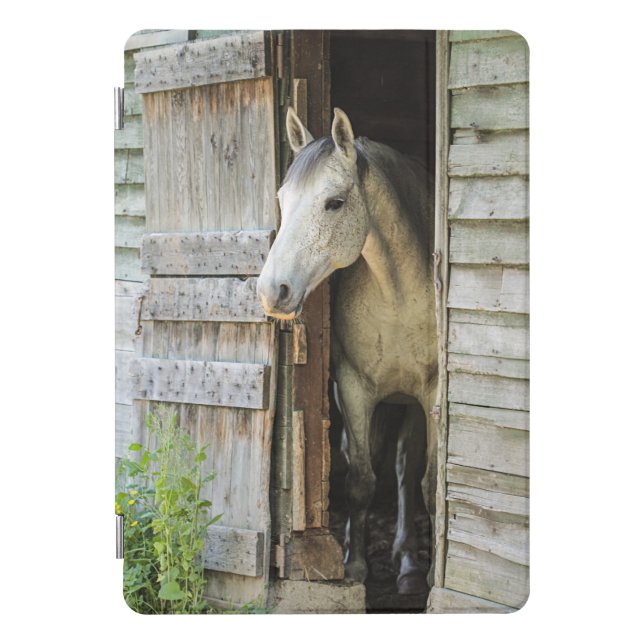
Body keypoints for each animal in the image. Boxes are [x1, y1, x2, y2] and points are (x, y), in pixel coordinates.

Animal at [257, 107, 438, 595]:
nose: (272, 291)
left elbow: (429, 485)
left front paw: (429, 574)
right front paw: (353, 566)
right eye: (282, 198)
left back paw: (408, 563)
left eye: (334, 203)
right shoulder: (354, 388)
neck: (398, 296)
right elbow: (359, 480)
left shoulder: (431, 394)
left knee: (404, 471)